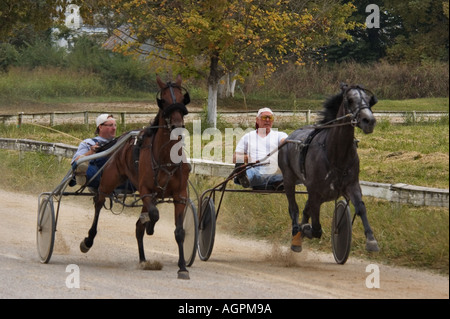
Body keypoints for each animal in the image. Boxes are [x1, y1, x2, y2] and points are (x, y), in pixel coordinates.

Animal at [80, 75, 192, 280]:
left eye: (182, 98)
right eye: (164, 100)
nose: (177, 126)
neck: (166, 157)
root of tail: (119, 141)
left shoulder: (180, 195)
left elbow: (179, 231)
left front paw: (182, 268)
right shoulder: (146, 191)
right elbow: (154, 215)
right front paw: (150, 226)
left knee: (137, 225)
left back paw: (143, 259)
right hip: (109, 178)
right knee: (99, 202)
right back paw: (88, 239)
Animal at [282, 84, 380, 255]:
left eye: (369, 100)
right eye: (350, 99)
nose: (369, 120)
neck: (335, 153)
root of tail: (290, 136)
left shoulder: (352, 184)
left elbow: (360, 207)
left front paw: (371, 240)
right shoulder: (315, 191)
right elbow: (316, 228)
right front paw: (306, 229)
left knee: (305, 209)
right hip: (289, 179)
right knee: (294, 208)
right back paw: (297, 233)